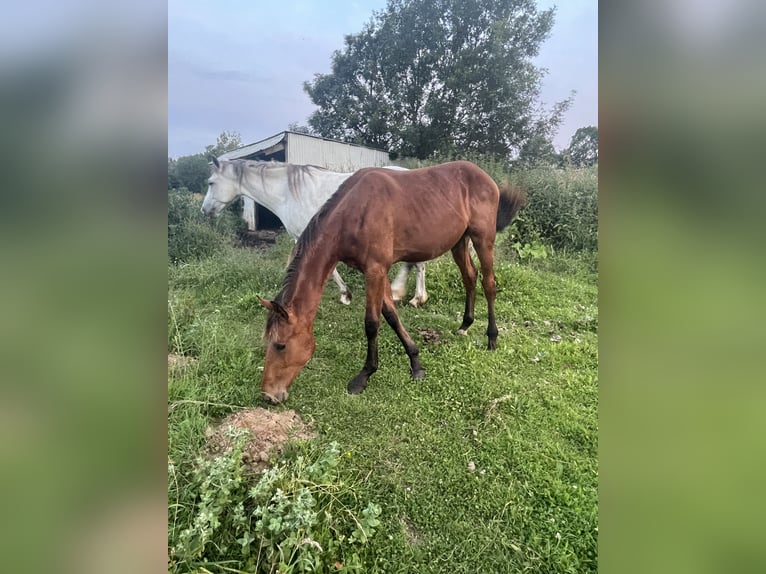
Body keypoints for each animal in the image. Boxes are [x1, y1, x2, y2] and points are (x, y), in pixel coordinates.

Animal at [201, 159, 428, 306]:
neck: (289, 193)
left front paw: (345, 295)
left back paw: (417, 298)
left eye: (211, 182)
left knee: (419, 264)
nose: (204, 210)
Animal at [260, 161, 524, 404]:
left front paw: (364, 376)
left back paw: (492, 337)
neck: (353, 214)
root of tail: (485, 177)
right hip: (459, 242)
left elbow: (372, 323)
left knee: (489, 283)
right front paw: (416, 363)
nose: (269, 395)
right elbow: (391, 315)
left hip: (483, 238)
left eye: (280, 345)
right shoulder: (376, 271)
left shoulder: (375, 270)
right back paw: (465, 324)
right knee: (469, 276)